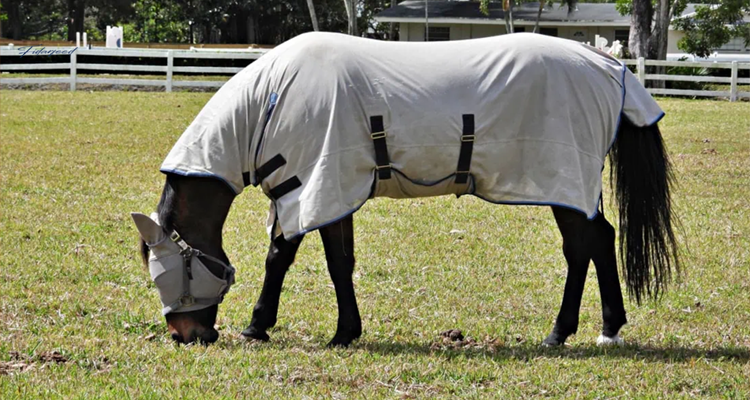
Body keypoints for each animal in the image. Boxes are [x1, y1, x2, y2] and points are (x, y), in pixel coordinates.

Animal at [131, 32, 679, 346]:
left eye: (169, 272)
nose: (186, 336)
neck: (270, 102)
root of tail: (609, 65)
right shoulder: (328, 192)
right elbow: (338, 261)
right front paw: (344, 332)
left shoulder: (310, 187)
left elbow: (284, 259)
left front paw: (261, 326)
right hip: (574, 188)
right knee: (596, 242)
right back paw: (602, 328)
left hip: (563, 182)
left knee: (582, 246)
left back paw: (566, 331)